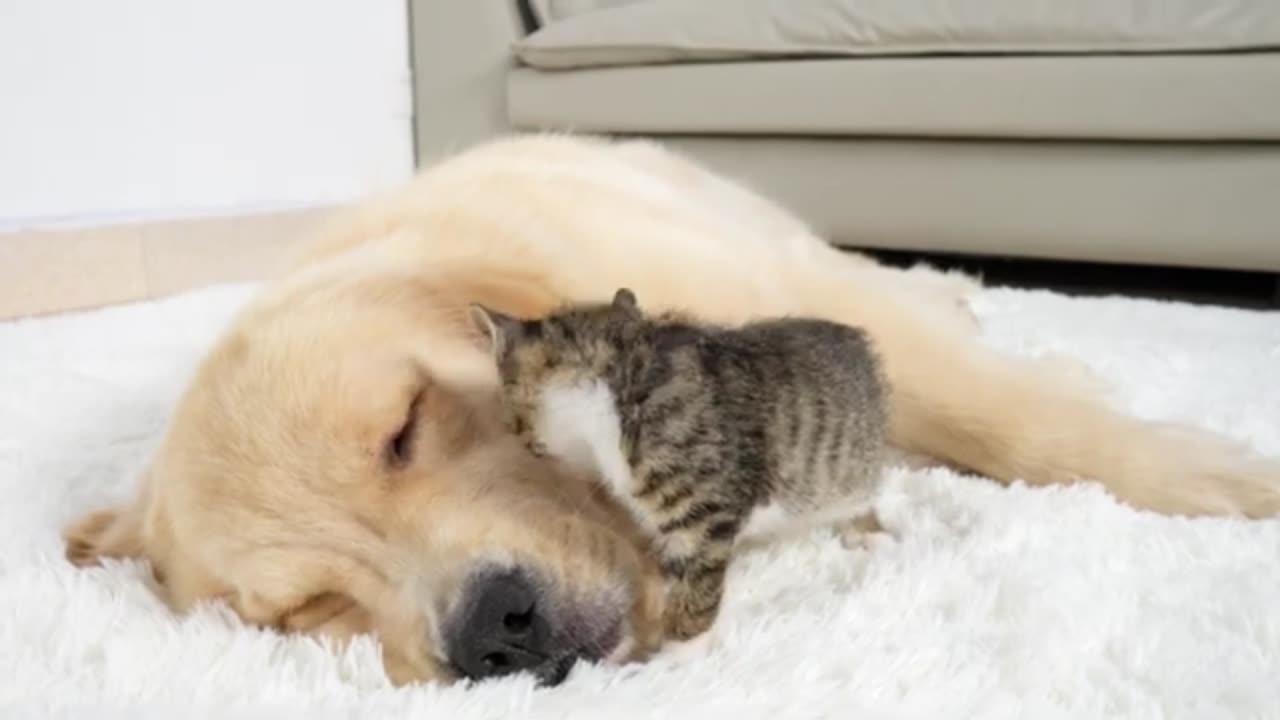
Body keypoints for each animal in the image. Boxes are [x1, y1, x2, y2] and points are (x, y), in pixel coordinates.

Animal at [471, 288, 890, 635]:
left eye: (511, 415)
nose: (516, 434)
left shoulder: (710, 513)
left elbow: (700, 590)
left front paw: (676, 650)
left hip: (853, 471)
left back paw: (867, 533)